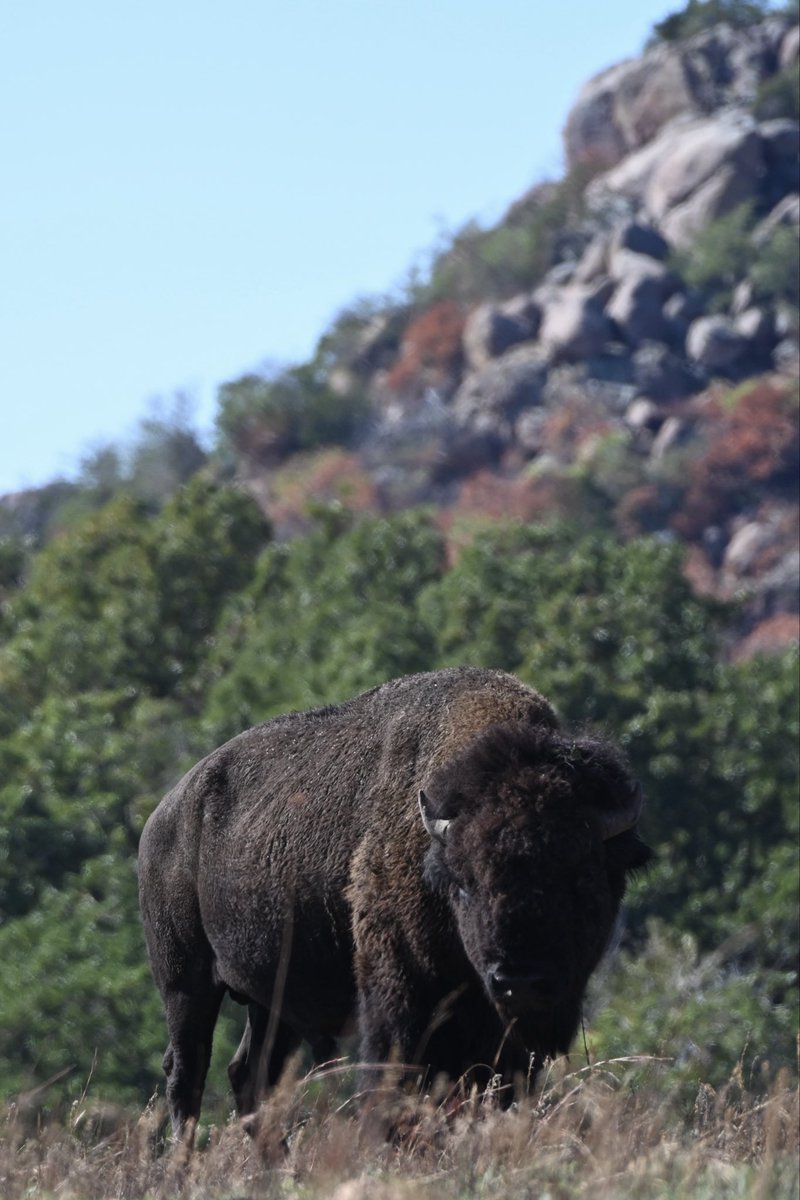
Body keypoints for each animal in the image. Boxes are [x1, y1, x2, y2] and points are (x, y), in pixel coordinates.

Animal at [138, 667, 651, 1138]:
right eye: (463, 883)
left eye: (581, 877)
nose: (518, 980)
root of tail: (164, 814)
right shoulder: (401, 991)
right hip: (185, 985)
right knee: (187, 1075)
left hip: (271, 1001)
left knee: (251, 1077)